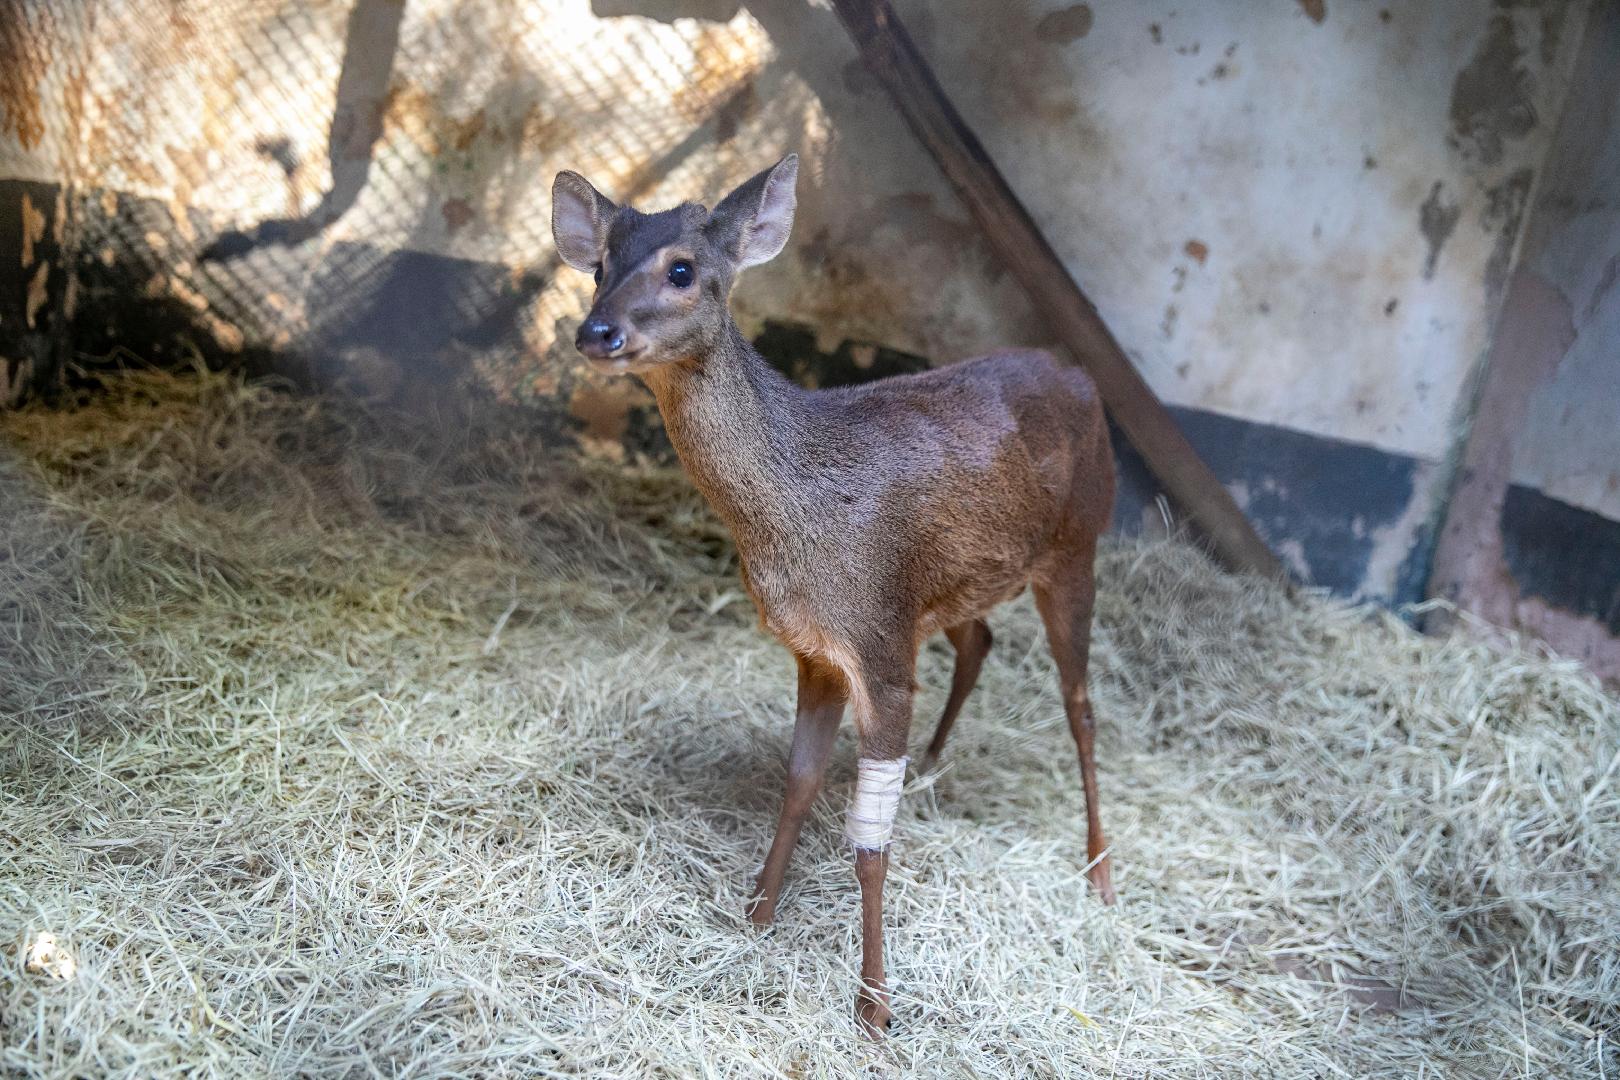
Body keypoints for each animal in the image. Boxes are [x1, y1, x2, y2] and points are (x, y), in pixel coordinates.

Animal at [547, 156, 1114, 1036]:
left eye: (683, 270)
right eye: (600, 264)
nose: (596, 332)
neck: (798, 526)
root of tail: (1083, 377)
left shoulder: (878, 644)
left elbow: (869, 843)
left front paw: (875, 1005)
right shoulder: (821, 649)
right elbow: (799, 784)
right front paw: (756, 913)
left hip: (1077, 548)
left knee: (1081, 706)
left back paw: (1099, 873)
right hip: (955, 586)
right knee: (981, 640)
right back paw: (938, 766)